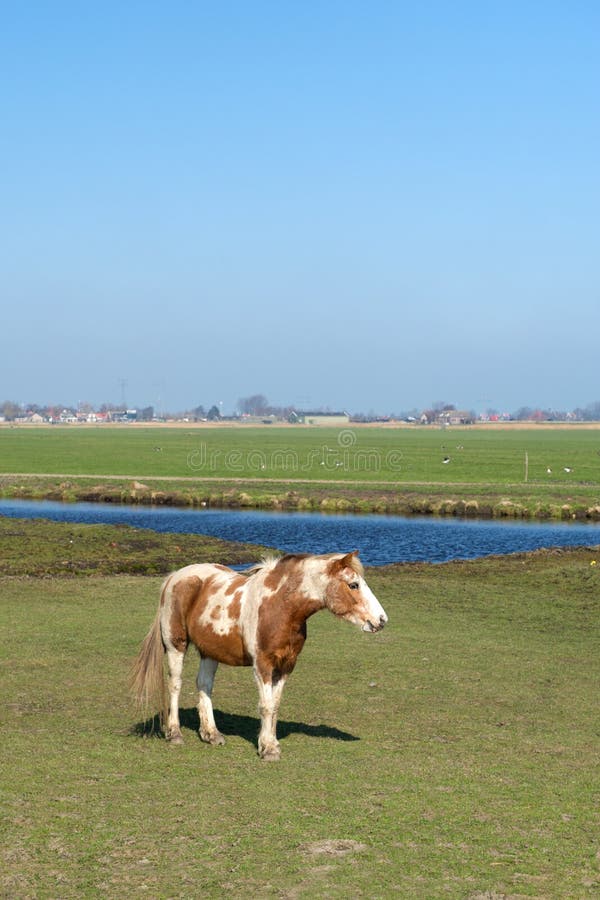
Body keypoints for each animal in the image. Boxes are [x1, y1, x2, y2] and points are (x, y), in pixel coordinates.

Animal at [131, 550, 388, 760]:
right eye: (353, 585)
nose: (382, 620)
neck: (280, 606)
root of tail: (175, 576)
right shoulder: (263, 665)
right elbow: (265, 706)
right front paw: (268, 749)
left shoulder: (286, 665)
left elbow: (275, 705)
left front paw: (271, 742)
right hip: (176, 645)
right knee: (175, 684)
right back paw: (174, 733)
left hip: (210, 651)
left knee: (204, 685)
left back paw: (211, 734)